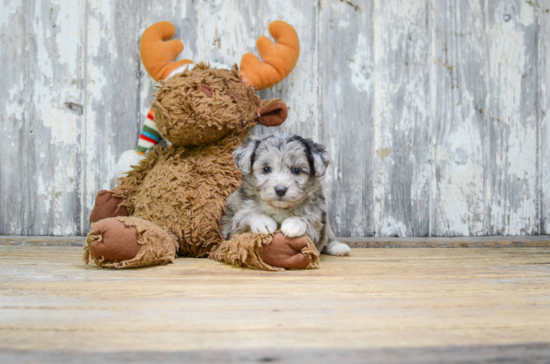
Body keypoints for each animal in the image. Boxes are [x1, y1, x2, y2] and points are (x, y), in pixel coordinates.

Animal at [222, 132, 352, 256]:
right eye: (266, 168)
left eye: (296, 170)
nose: (280, 190)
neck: (279, 208)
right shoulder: (231, 227)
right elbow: (248, 214)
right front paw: (263, 221)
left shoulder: (317, 218)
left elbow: (309, 217)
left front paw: (293, 224)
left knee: (328, 238)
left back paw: (338, 247)